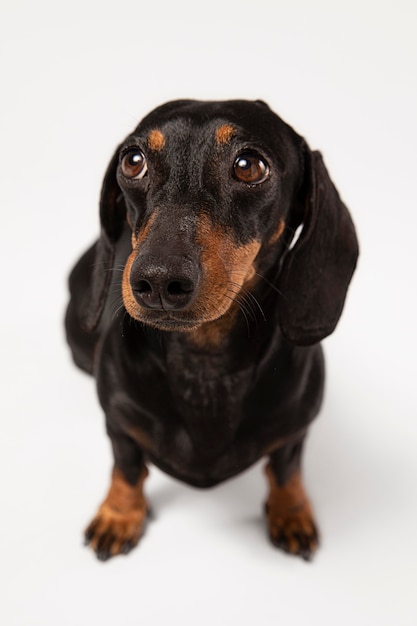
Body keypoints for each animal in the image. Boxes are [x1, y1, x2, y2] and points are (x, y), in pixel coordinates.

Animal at [65, 98, 358, 560]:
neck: (205, 364)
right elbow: (126, 469)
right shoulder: (118, 424)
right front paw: (119, 515)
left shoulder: (296, 430)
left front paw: (291, 512)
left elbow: (286, 469)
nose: (158, 281)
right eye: (133, 161)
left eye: (249, 166)